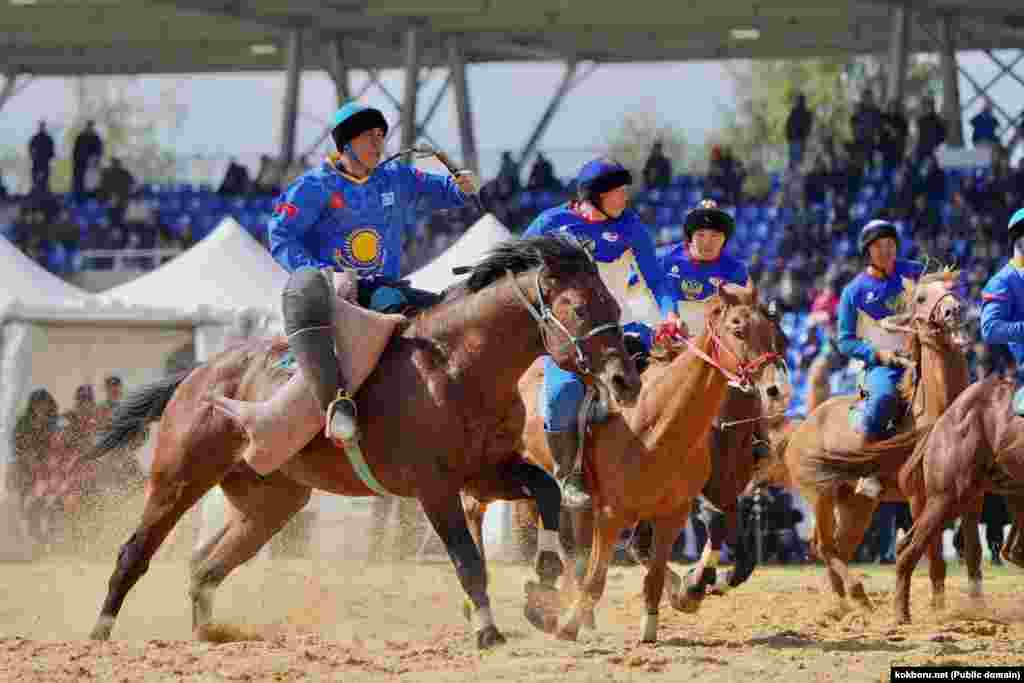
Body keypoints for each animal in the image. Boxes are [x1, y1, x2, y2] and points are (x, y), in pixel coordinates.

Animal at [86, 237, 638, 651]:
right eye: (579, 307)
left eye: (613, 304)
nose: (625, 381)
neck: (456, 365)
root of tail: (197, 375)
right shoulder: (435, 489)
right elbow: (467, 559)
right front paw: (487, 630)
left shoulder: (486, 471)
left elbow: (545, 490)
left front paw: (543, 579)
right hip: (178, 479)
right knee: (134, 553)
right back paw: (101, 631)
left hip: (270, 503)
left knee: (205, 565)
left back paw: (208, 632)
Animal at [778, 270, 970, 618]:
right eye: (921, 297)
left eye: (952, 288)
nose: (954, 310)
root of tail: (804, 424)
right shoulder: (919, 496)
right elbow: (932, 549)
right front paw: (934, 609)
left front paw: (939, 606)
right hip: (821, 494)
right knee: (824, 546)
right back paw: (856, 594)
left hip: (857, 505)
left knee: (838, 546)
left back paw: (846, 605)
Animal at [892, 374, 1024, 626]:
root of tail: (942, 422)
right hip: (950, 495)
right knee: (910, 548)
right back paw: (902, 615)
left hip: (989, 491)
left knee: (1010, 549)